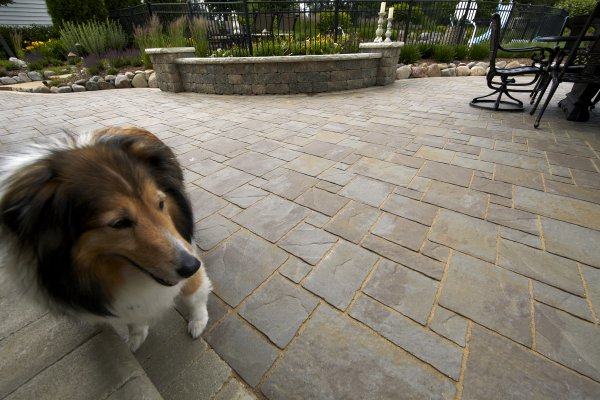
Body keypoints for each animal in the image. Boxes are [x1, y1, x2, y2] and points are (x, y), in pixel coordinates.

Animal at [0, 126, 211, 350]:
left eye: (161, 203)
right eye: (119, 223)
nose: (191, 266)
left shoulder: (186, 245)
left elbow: (194, 294)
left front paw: (198, 322)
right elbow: (134, 317)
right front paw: (136, 337)